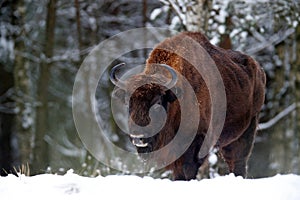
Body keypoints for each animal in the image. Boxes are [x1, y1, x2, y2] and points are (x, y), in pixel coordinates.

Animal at [110, 32, 264, 180]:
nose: (138, 138)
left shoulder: (195, 146)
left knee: (238, 162)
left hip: (246, 130)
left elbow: (189, 171)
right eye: (129, 102)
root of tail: (259, 69)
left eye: (158, 102)